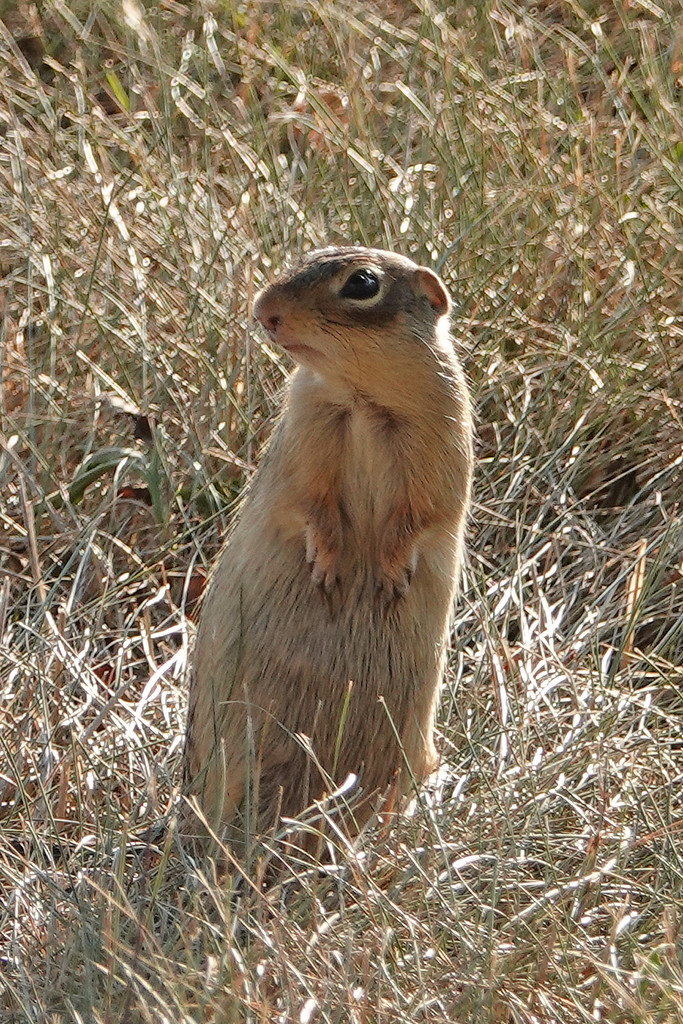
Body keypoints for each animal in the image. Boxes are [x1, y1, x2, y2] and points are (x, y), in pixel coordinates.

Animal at [181, 245, 475, 847]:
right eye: (304, 256)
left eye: (362, 283)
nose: (263, 310)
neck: (362, 400)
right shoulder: (306, 433)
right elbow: (309, 504)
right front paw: (329, 564)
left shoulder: (442, 446)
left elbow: (421, 516)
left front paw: (390, 571)